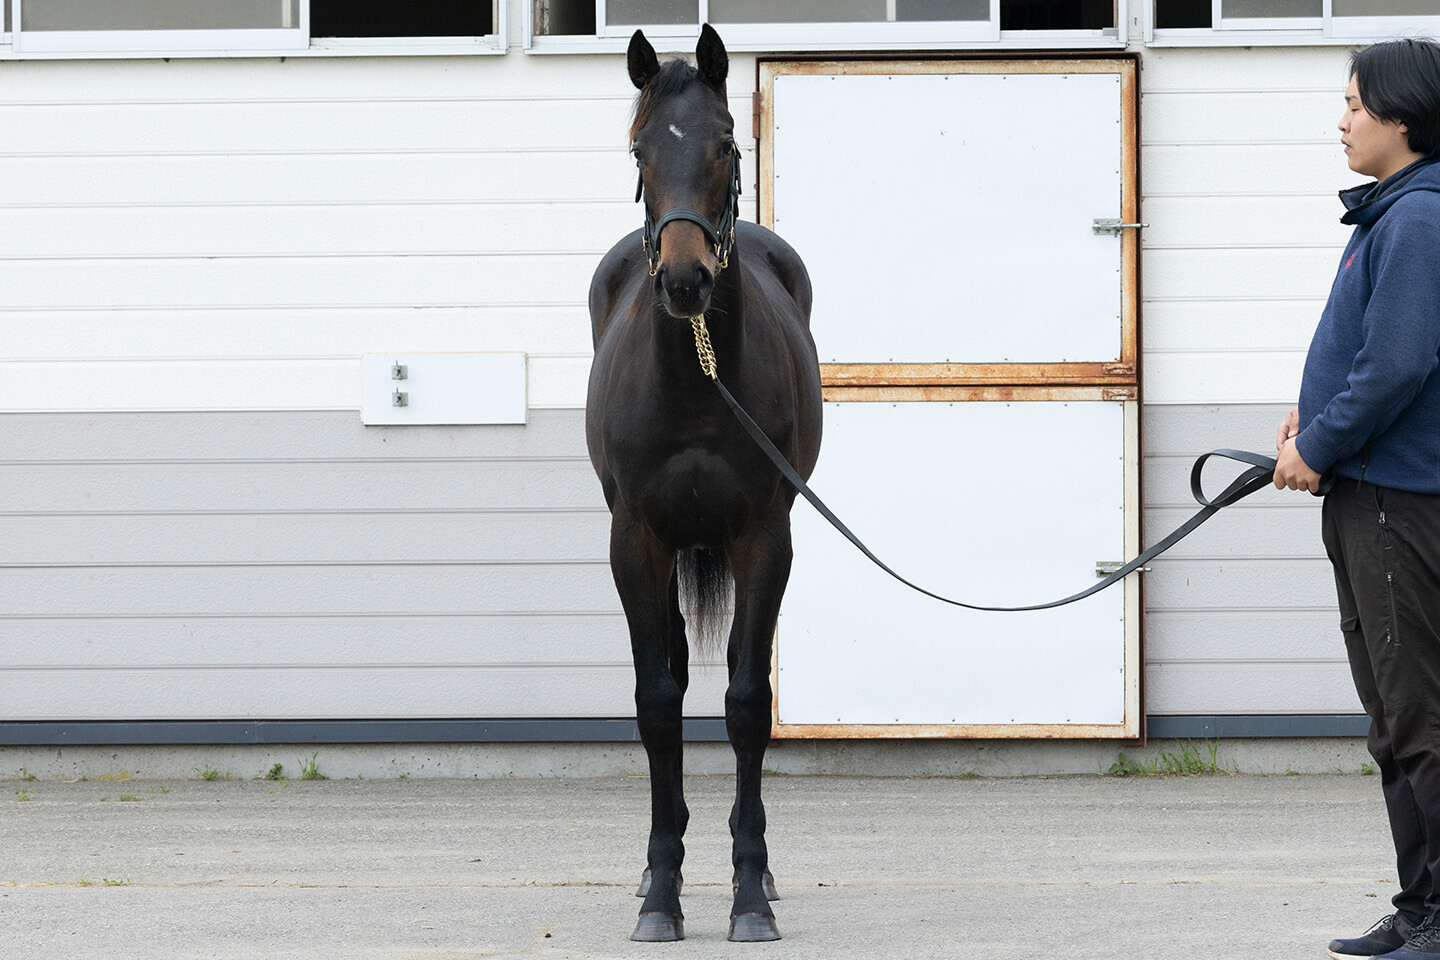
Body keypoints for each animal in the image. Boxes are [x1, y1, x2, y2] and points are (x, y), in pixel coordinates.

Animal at [585, 24, 823, 944]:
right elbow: (658, 702)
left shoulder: (764, 536)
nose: (685, 281)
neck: (696, 383)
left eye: (726, 144)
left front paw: (750, 895)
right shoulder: (636, 542)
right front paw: (661, 891)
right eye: (639, 149)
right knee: (678, 674)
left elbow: (749, 703)